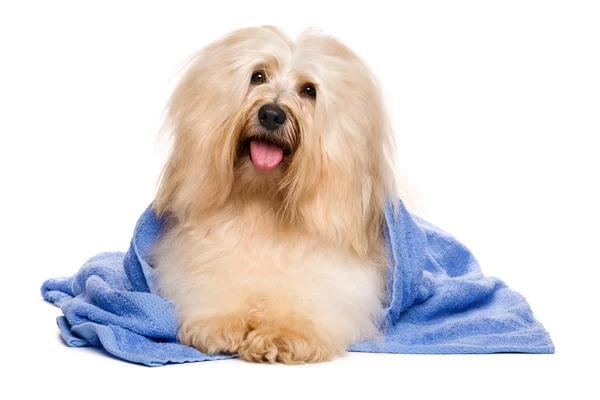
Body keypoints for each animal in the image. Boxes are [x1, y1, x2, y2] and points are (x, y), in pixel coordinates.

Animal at [152, 24, 398, 362]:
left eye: (309, 90)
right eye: (258, 76)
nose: (271, 114)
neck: (264, 203)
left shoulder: (336, 280)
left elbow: (309, 303)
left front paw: (283, 334)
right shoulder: (205, 257)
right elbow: (215, 286)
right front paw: (220, 324)